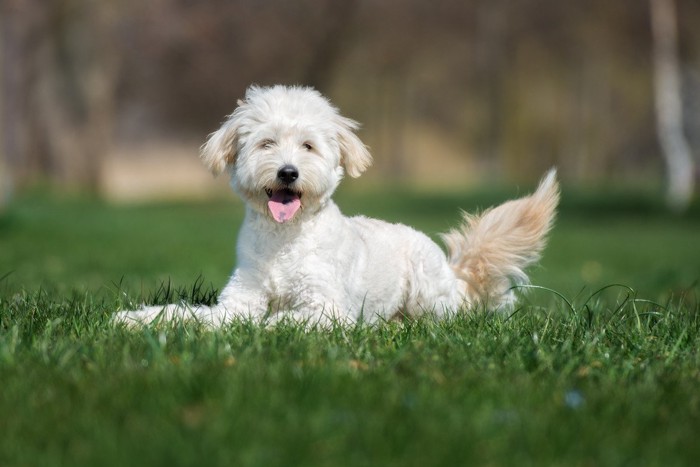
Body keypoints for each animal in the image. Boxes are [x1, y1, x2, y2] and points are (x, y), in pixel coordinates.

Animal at [117, 84, 560, 328]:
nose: (288, 172)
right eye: (267, 143)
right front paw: (138, 319)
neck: (285, 241)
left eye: (308, 146)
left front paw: (268, 328)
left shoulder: (325, 306)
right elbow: (193, 314)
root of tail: (453, 273)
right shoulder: (241, 299)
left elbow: (283, 320)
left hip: (427, 295)